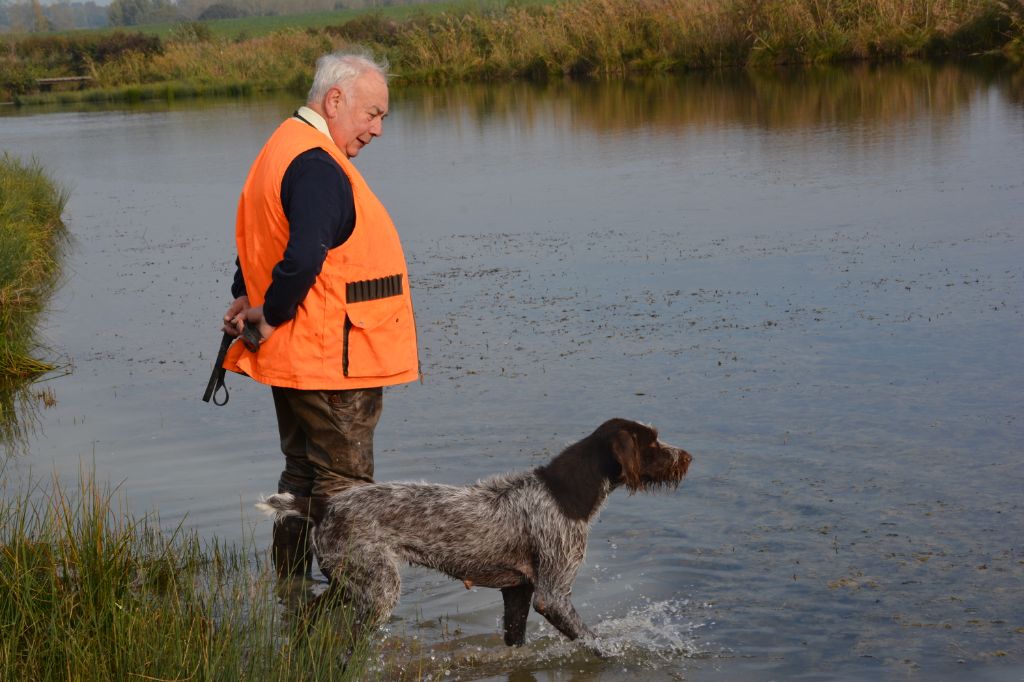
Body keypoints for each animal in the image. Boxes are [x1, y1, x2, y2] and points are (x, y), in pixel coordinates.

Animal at [256, 413, 692, 643]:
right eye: (653, 444)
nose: (687, 456)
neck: (566, 493)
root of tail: (325, 503)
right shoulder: (552, 595)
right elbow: (592, 641)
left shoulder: (517, 591)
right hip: (376, 588)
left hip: (348, 582)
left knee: (309, 614)